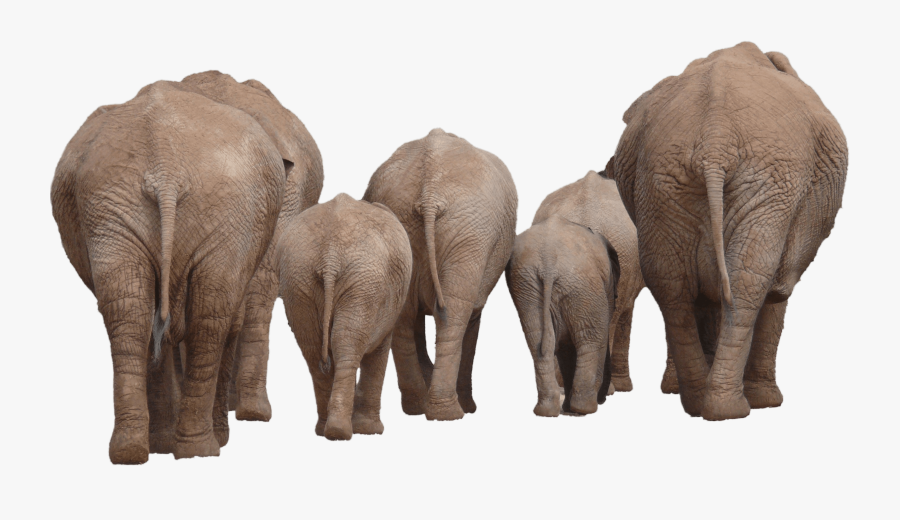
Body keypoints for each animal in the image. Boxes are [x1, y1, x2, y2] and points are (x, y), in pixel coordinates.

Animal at [51, 79, 289, 463]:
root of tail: (166, 167)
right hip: (210, 206)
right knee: (209, 314)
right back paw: (199, 449)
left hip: (113, 207)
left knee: (131, 308)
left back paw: (135, 451)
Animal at [276, 194, 412, 440]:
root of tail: (329, 255)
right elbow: (379, 350)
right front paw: (371, 431)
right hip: (361, 281)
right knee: (345, 345)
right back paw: (340, 431)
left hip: (298, 279)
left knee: (313, 349)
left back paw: (327, 430)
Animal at [363, 128, 518, 421]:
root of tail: (429, 191)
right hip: (470, 235)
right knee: (455, 313)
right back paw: (450, 413)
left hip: (407, 224)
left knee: (405, 314)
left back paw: (417, 408)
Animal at [505, 215, 620, 417]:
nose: (604, 398)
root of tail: (548, 263)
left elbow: (564, 347)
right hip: (581, 282)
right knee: (591, 338)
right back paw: (585, 409)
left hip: (527, 284)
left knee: (538, 341)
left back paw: (547, 411)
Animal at [607, 42, 848, 420]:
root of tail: (714, 139)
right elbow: (776, 289)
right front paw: (767, 402)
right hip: (767, 181)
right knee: (749, 280)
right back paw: (733, 409)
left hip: (663, 183)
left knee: (672, 283)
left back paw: (699, 404)